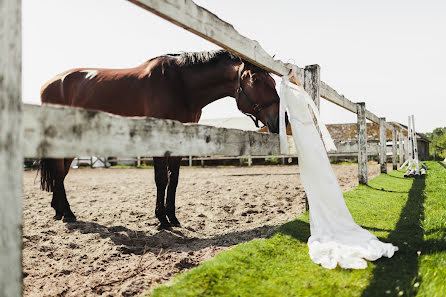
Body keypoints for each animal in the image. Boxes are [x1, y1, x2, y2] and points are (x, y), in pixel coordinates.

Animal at [40, 50, 280, 227]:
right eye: (256, 79)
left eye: (273, 81)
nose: (279, 120)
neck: (180, 85)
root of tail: (50, 83)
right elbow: (161, 179)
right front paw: (161, 219)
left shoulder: (180, 142)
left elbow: (173, 180)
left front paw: (172, 217)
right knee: (59, 173)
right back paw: (68, 213)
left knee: (61, 174)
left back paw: (59, 210)